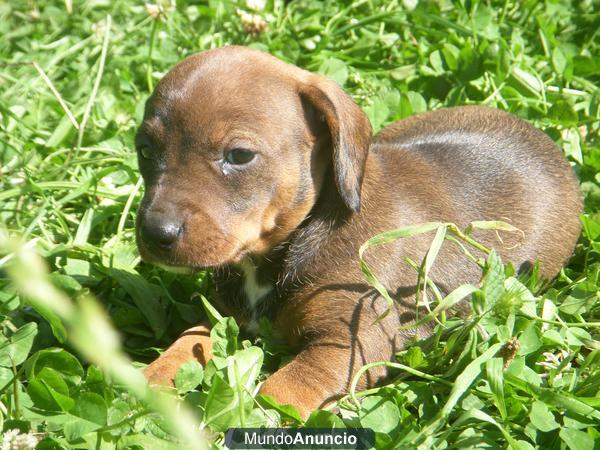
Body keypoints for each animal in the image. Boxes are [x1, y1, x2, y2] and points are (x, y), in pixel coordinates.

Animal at [136, 46, 580, 418]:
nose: (155, 233)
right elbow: (187, 342)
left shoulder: (349, 343)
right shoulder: (225, 314)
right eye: (144, 149)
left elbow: (277, 396)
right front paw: (144, 383)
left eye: (240, 155)